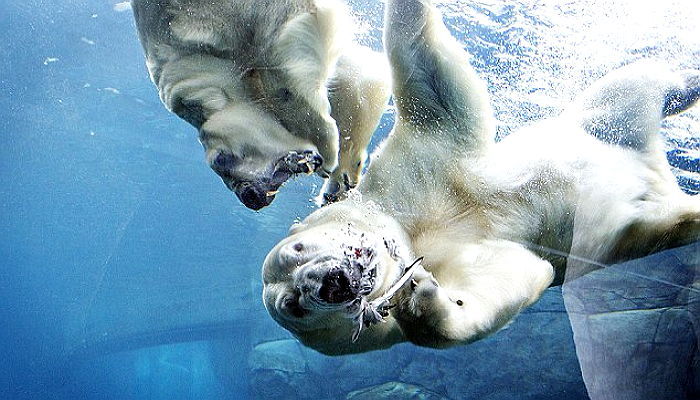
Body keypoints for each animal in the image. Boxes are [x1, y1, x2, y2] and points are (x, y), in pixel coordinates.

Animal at [131, 0, 392, 211]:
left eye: (222, 160)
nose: (251, 197)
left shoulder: (216, 16)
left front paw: (327, 150)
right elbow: (354, 75)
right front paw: (339, 179)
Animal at [260, 0, 696, 354]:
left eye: (298, 248)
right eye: (294, 306)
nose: (331, 283)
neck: (411, 228)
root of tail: (654, 168)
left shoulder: (412, 168)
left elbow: (424, 68)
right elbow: (506, 279)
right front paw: (424, 298)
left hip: (601, 123)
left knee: (637, 85)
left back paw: (688, 85)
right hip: (635, 227)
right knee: (668, 222)